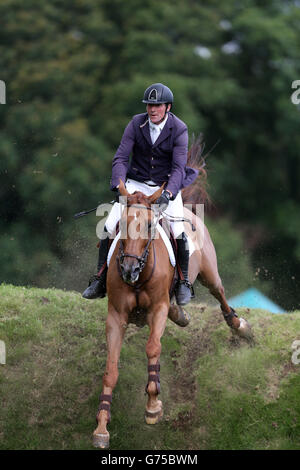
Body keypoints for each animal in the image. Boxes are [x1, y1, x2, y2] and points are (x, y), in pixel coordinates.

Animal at [92, 178, 252, 450]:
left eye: (149, 225)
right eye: (122, 224)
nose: (128, 269)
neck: (140, 275)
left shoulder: (158, 308)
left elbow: (153, 348)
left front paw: (153, 405)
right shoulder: (116, 316)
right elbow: (110, 370)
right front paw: (102, 427)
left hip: (209, 273)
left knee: (219, 294)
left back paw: (240, 326)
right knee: (179, 307)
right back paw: (180, 314)